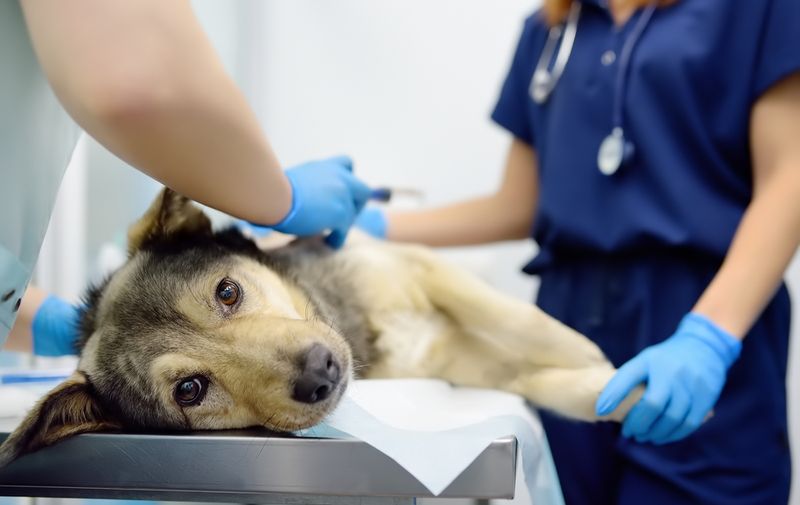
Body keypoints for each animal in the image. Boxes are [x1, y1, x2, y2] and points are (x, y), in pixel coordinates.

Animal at [0, 188, 640, 466]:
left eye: (227, 292)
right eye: (190, 390)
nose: (321, 373)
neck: (357, 328)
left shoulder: (420, 267)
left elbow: (518, 320)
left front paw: (602, 360)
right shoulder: (464, 360)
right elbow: (555, 385)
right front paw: (624, 390)